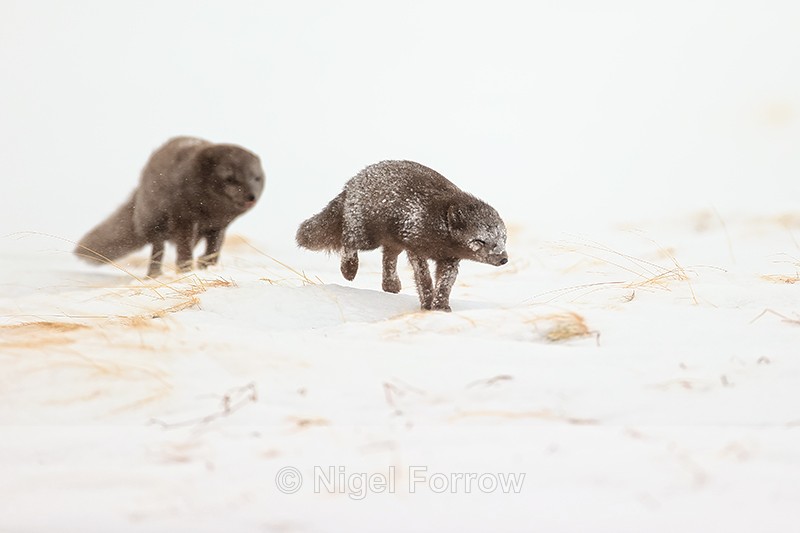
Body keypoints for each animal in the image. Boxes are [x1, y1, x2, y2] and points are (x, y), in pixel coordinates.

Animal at [74, 136, 264, 277]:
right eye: (230, 179)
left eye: (256, 178)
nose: (251, 197)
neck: (212, 210)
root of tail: (139, 189)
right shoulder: (184, 219)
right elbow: (185, 250)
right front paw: (187, 270)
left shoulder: (219, 226)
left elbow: (214, 249)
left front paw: (207, 266)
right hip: (155, 225)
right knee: (158, 251)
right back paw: (154, 275)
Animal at [296, 160, 508, 311]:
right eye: (480, 241)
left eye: (503, 239)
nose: (504, 259)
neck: (438, 223)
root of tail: (352, 182)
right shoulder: (416, 250)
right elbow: (424, 279)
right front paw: (427, 304)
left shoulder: (449, 260)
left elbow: (445, 283)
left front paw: (441, 307)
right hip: (367, 238)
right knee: (347, 240)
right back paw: (349, 269)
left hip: (393, 243)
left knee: (387, 258)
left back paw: (391, 285)